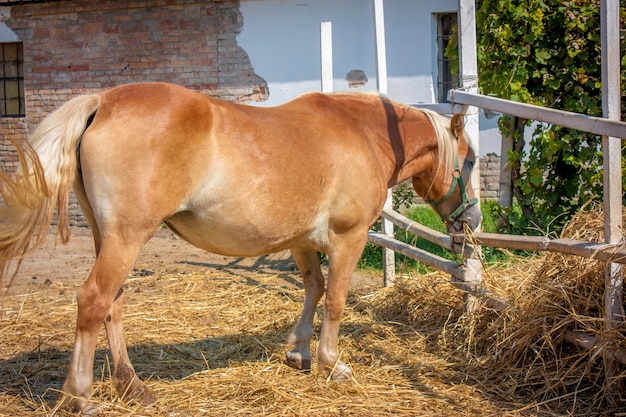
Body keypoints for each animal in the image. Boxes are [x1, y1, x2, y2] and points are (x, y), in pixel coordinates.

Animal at [1, 82, 478, 412]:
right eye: (470, 160)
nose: (472, 221)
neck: (363, 134)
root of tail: (102, 101)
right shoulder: (349, 237)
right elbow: (337, 300)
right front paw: (330, 362)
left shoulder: (300, 241)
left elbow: (315, 289)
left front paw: (299, 351)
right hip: (126, 238)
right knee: (93, 302)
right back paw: (79, 397)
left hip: (110, 239)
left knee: (112, 306)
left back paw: (131, 386)